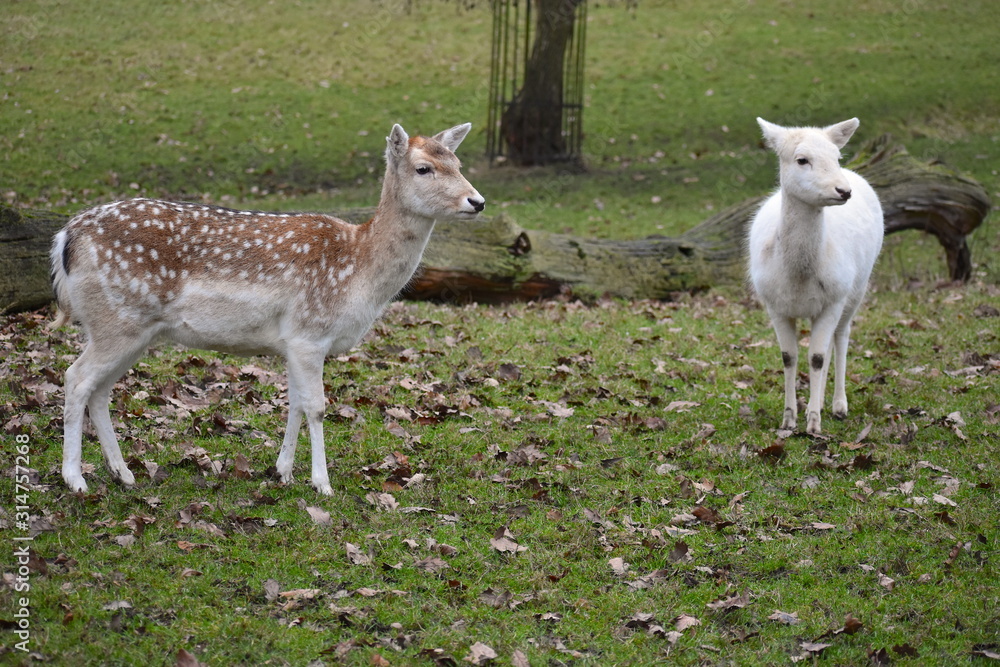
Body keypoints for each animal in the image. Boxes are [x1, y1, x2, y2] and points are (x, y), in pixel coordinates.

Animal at [50, 123, 485, 495]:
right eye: (423, 168)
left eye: (458, 163)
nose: (477, 201)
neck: (358, 272)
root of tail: (65, 239)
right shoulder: (310, 332)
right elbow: (317, 407)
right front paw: (322, 484)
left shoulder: (291, 341)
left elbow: (294, 404)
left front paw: (283, 472)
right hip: (116, 320)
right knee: (76, 378)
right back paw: (75, 479)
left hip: (131, 330)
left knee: (100, 390)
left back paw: (123, 473)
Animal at [747, 117, 883, 436]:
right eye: (802, 159)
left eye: (837, 157)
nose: (843, 190)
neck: (798, 275)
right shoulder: (774, 304)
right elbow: (790, 356)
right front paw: (788, 419)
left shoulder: (834, 298)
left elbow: (817, 357)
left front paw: (812, 424)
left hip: (857, 288)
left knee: (841, 337)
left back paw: (838, 406)